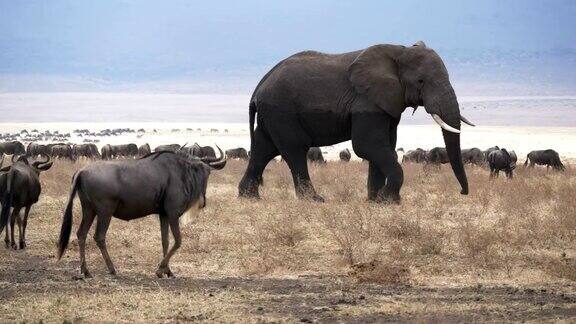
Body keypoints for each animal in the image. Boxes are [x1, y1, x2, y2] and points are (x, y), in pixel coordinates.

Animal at [238, 41, 472, 202]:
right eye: (421, 81)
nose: (462, 192)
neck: (399, 50)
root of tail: (260, 86)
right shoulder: (365, 102)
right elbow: (367, 145)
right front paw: (389, 201)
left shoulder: (385, 104)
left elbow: (386, 145)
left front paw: (375, 201)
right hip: (282, 111)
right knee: (294, 150)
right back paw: (315, 200)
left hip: (273, 114)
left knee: (263, 148)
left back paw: (249, 198)